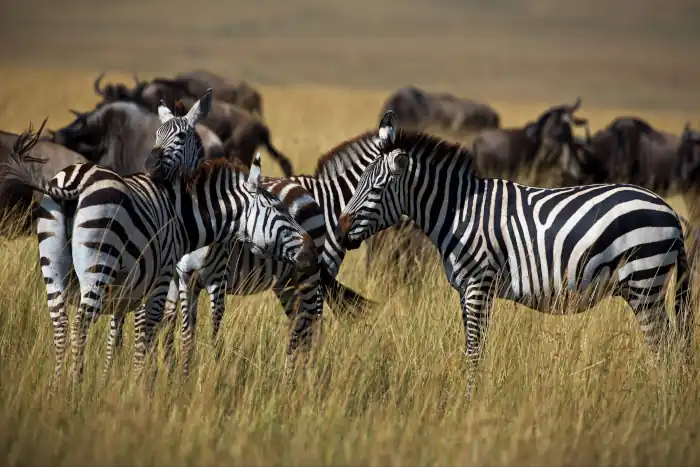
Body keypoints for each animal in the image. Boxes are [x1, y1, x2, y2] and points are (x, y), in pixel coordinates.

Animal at [1, 112, 317, 391]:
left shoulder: (133, 288)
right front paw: (142, 386)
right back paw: (75, 389)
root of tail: (74, 181)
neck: (181, 217)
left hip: (53, 267)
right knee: (80, 324)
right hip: (97, 267)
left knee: (60, 325)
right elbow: (149, 332)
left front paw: (123, 380)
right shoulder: (162, 277)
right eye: (278, 209)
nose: (311, 249)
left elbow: (131, 333)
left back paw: (58, 386)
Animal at [336, 111, 694, 399]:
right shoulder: (467, 289)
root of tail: (670, 211)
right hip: (645, 286)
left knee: (663, 344)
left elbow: (474, 349)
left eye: (376, 189)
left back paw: (659, 395)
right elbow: (473, 346)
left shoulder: (478, 284)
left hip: (644, 281)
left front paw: (469, 401)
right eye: (357, 183)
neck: (458, 213)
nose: (339, 230)